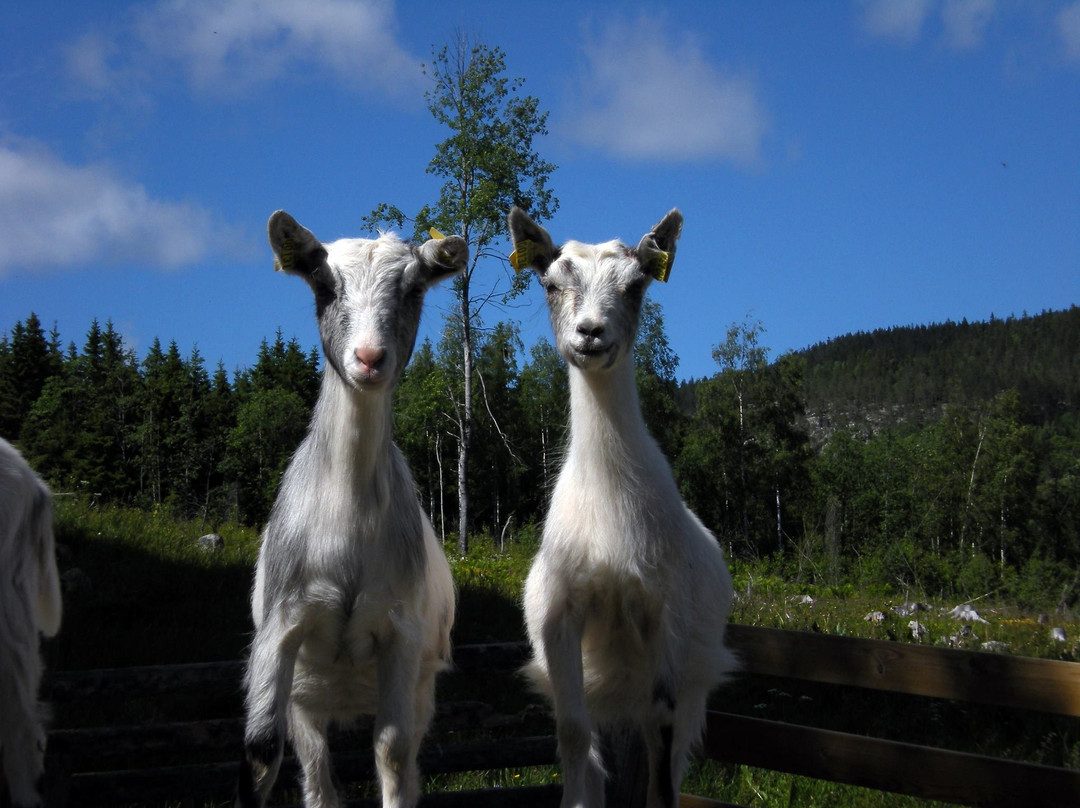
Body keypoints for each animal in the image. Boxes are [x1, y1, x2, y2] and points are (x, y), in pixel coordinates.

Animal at [238, 209, 466, 808]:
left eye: (413, 289)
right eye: (322, 284)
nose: (368, 358)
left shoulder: (400, 631)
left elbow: (392, 749)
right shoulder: (282, 625)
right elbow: (261, 751)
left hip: (420, 683)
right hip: (307, 696)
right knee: (316, 766)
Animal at [509, 206, 738, 808]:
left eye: (637, 286)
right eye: (549, 282)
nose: (591, 332)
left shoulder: (666, 615)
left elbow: (661, 741)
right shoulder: (561, 615)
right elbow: (572, 735)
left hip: (697, 677)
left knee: (668, 752)